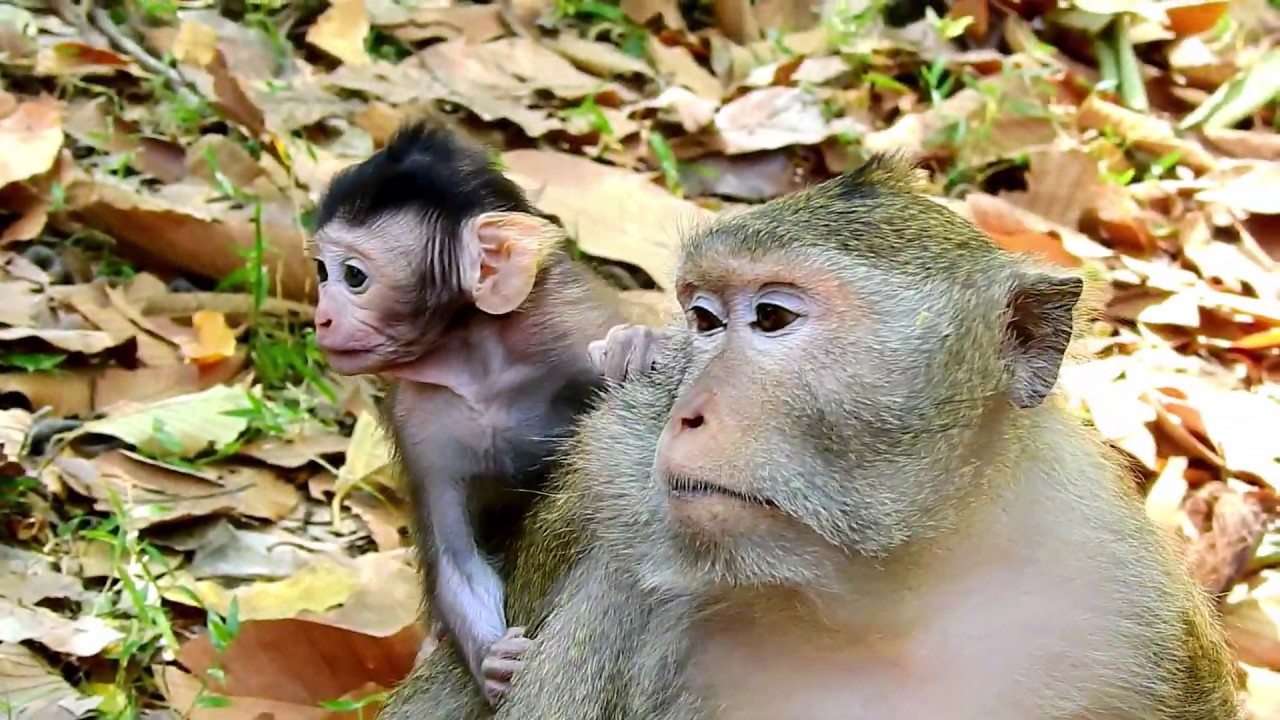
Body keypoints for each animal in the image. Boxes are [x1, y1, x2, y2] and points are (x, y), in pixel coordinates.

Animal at [309, 121, 645, 707]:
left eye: (352, 276)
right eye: (320, 271)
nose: (322, 317)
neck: (478, 361)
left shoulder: (566, 326)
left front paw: (637, 346)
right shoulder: (421, 413)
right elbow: (456, 556)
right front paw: (492, 661)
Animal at [381, 152, 1245, 720]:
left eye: (771, 318)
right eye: (703, 319)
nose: (686, 412)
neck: (882, 597)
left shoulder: (1118, 590)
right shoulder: (618, 581)